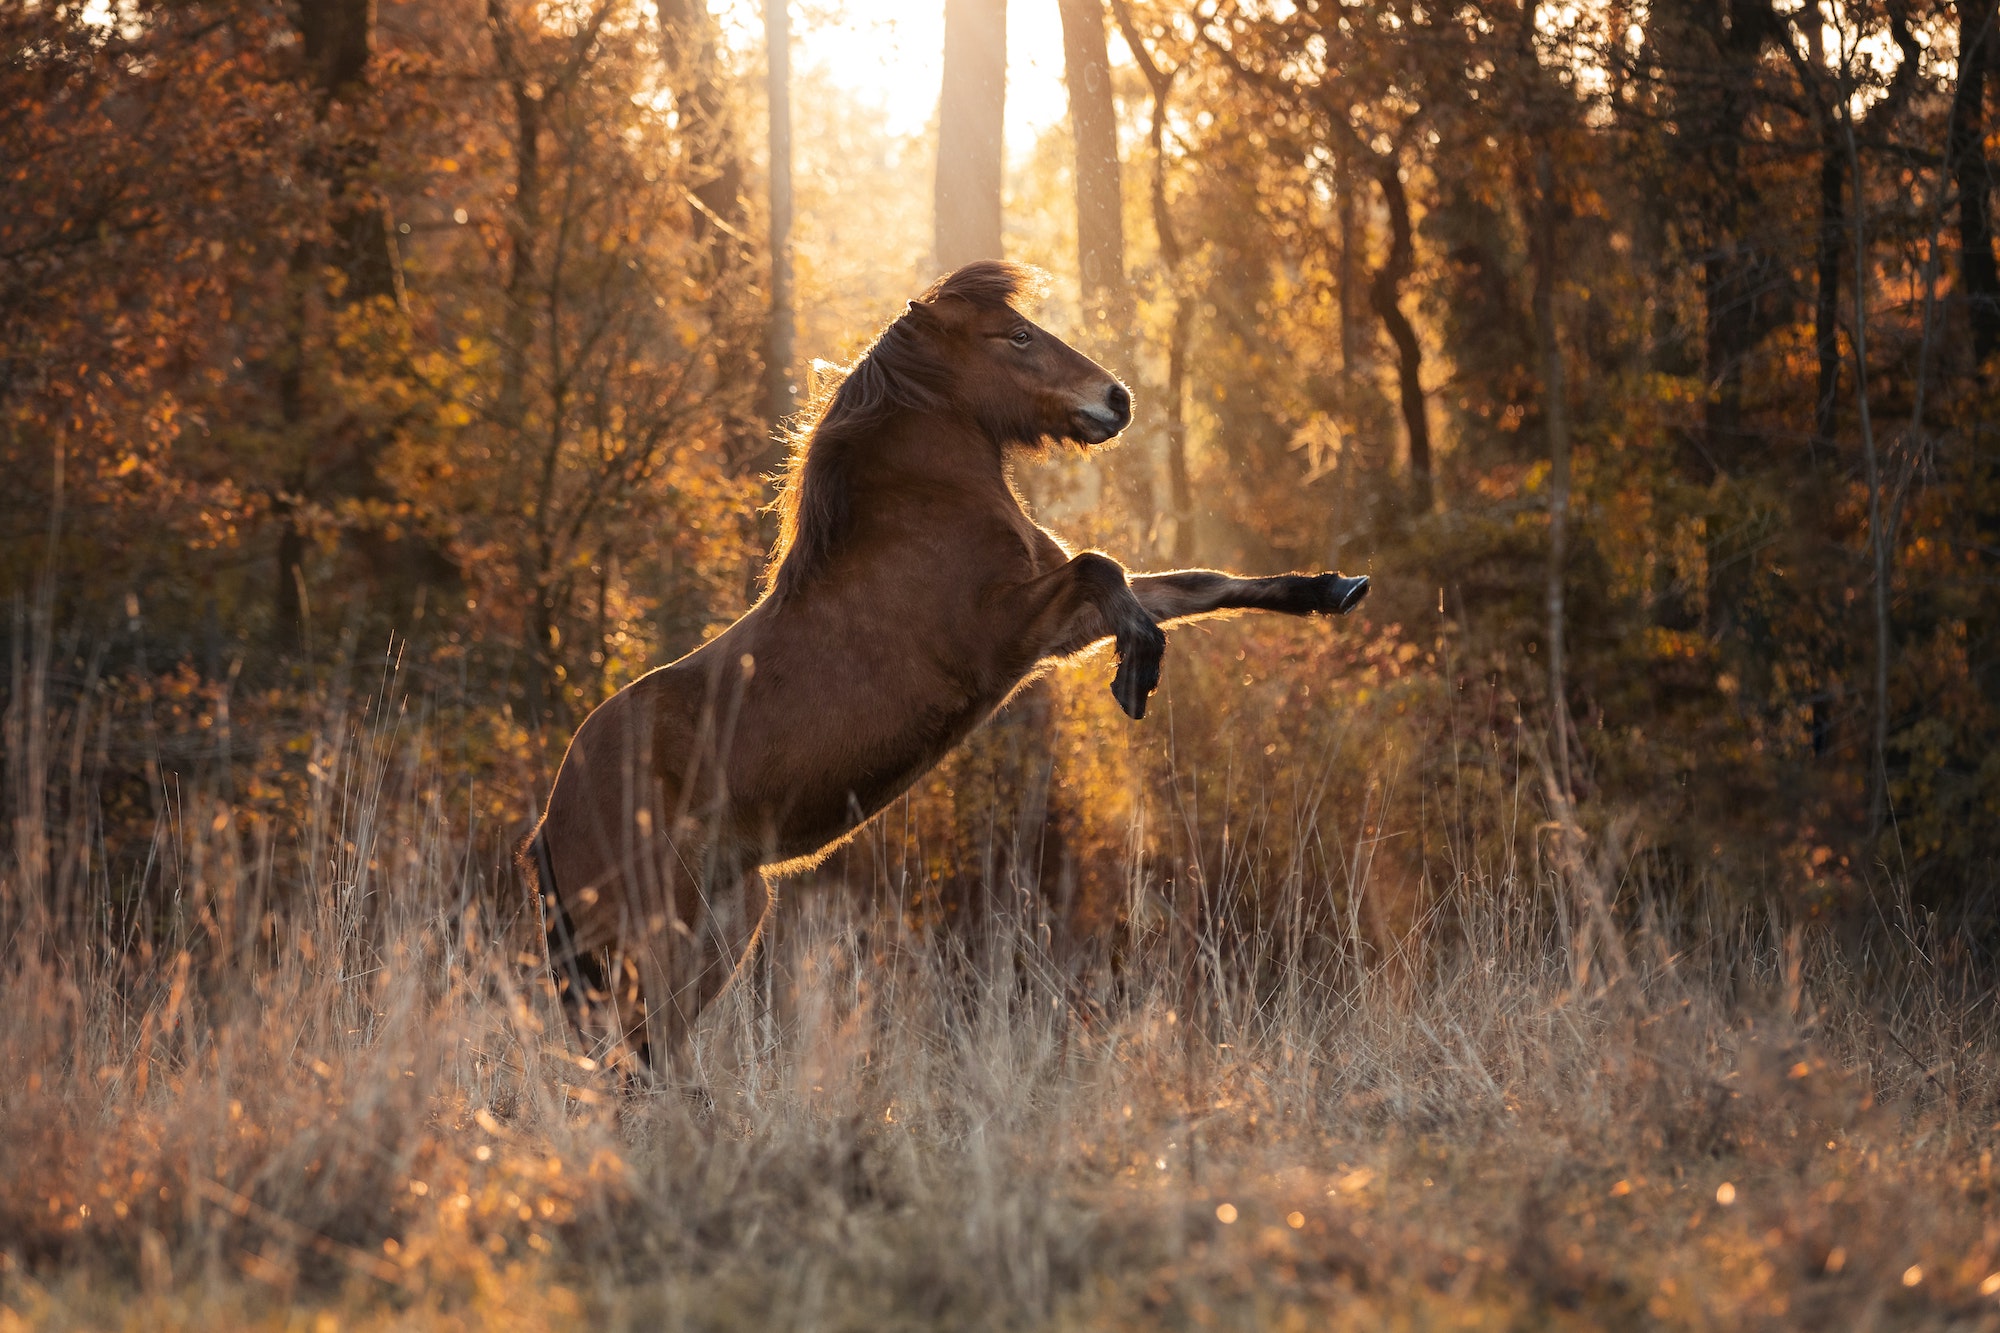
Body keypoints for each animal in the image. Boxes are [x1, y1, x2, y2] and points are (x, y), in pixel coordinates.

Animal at [522, 260, 1370, 1078]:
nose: (1117, 398)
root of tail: (548, 822)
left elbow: (1193, 583)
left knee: (647, 1057)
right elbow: (1107, 569)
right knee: (641, 1058)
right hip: (658, 937)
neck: (922, 508)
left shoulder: (1057, 627)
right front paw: (1137, 672)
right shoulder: (1007, 635)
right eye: (1015, 336)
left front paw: (1331, 590)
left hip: (727, 922)